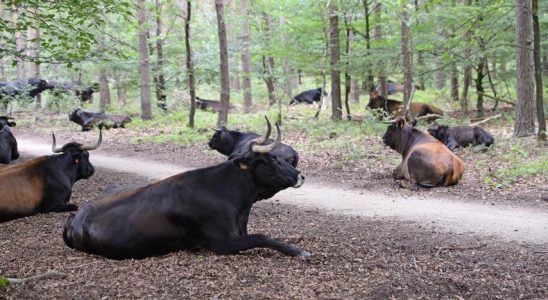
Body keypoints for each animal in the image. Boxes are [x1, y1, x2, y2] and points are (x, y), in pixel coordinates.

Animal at [62, 120, 310, 258]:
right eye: (273, 159)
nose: (301, 175)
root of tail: (75, 219)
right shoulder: (221, 242)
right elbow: (263, 237)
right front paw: (299, 251)